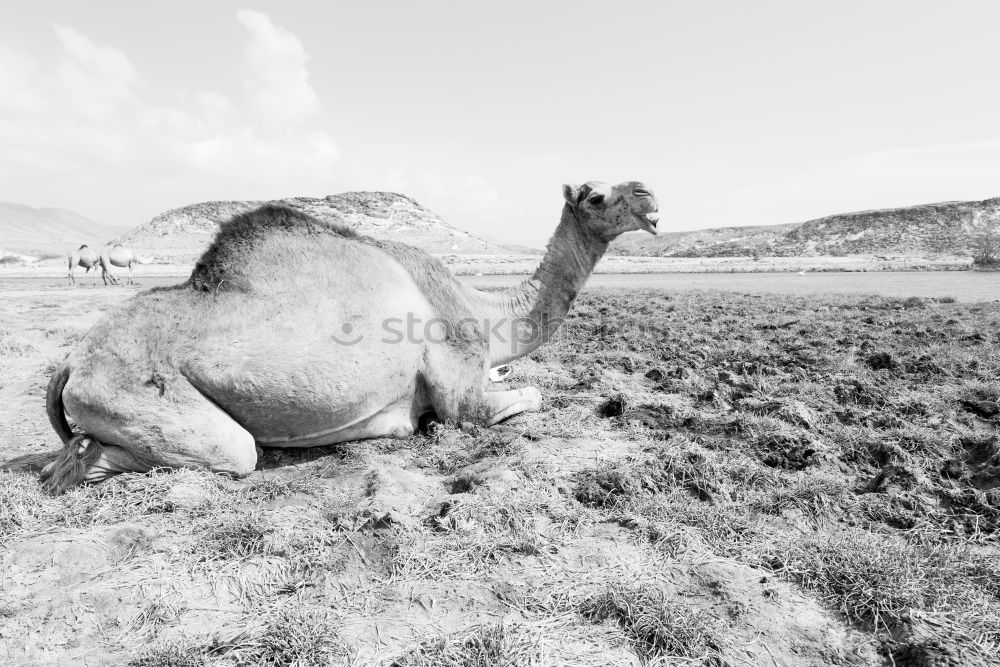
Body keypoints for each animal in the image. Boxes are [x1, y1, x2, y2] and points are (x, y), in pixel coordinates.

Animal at [43, 180, 660, 494]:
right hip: (137, 395)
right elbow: (519, 397)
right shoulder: (460, 391)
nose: (648, 193)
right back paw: (71, 465)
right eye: (596, 197)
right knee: (223, 451)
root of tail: (70, 362)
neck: (485, 311)